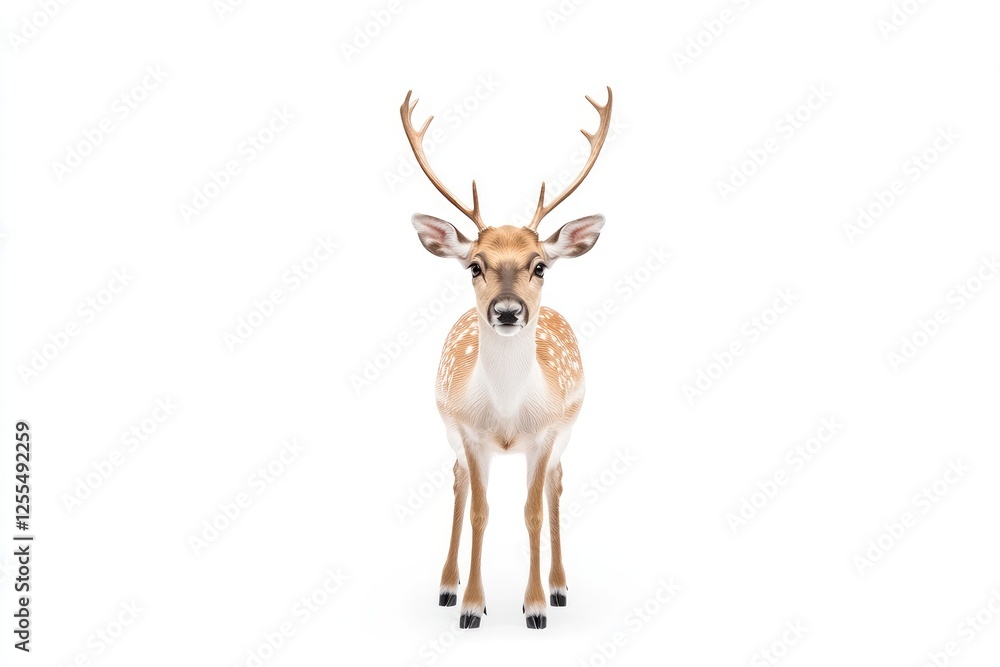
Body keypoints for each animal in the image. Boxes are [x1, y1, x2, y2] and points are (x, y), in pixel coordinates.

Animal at [401, 87, 612, 630]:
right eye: (475, 265)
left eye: (539, 265)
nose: (509, 310)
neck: (508, 418)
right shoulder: (469, 434)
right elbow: (480, 510)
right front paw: (472, 606)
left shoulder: (547, 434)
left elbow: (532, 511)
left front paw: (535, 606)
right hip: (451, 432)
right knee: (457, 486)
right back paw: (447, 586)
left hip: (567, 430)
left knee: (557, 485)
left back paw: (559, 588)